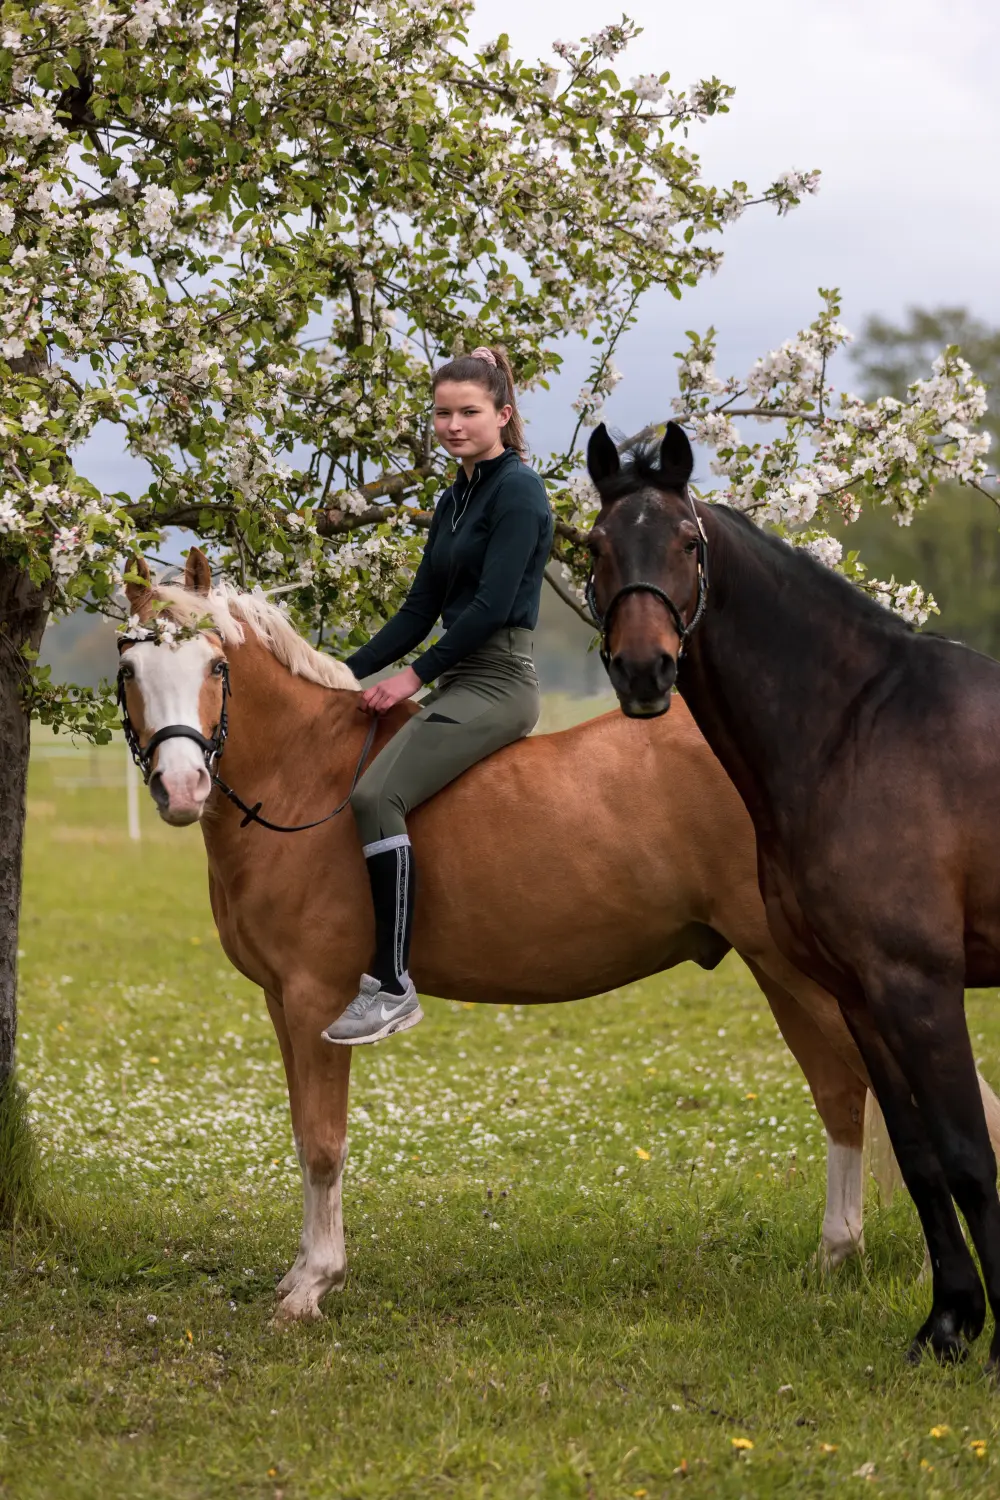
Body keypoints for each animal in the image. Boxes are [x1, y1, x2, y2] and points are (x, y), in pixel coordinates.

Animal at [115, 548, 939, 1321]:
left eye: (216, 665)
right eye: (129, 669)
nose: (181, 788)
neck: (304, 778)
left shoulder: (318, 998)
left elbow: (323, 1144)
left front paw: (314, 1284)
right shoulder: (281, 1002)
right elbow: (299, 1134)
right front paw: (299, 1274)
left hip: (796, 968)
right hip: (786, 970)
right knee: (846, 1093)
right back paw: (843, 1255)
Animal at [584, 418, 1000, 1368]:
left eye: (689, 543)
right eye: (594, 546)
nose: (643, 672)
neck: (856, 728)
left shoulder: (921, 988)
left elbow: (969, 1158)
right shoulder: (860, 993)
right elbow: (921, 1157)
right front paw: (948, 1326)